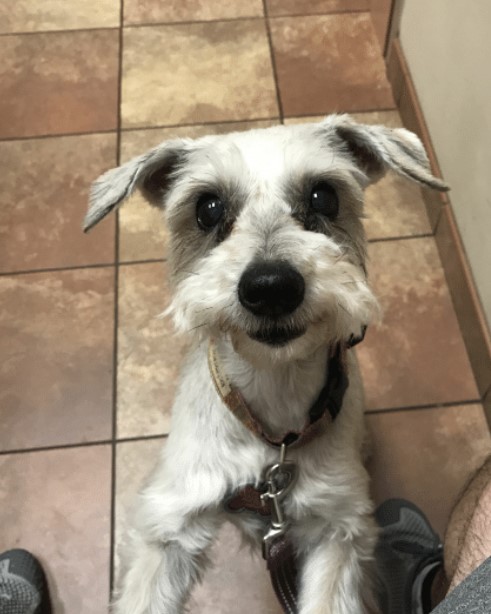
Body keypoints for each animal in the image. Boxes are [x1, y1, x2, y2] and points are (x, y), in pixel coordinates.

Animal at [85, 113, 450, 612]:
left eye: (324, 196)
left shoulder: (339, 530)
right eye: (207, 208)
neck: (273, 392)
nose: (271, 286)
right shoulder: (169, 522)